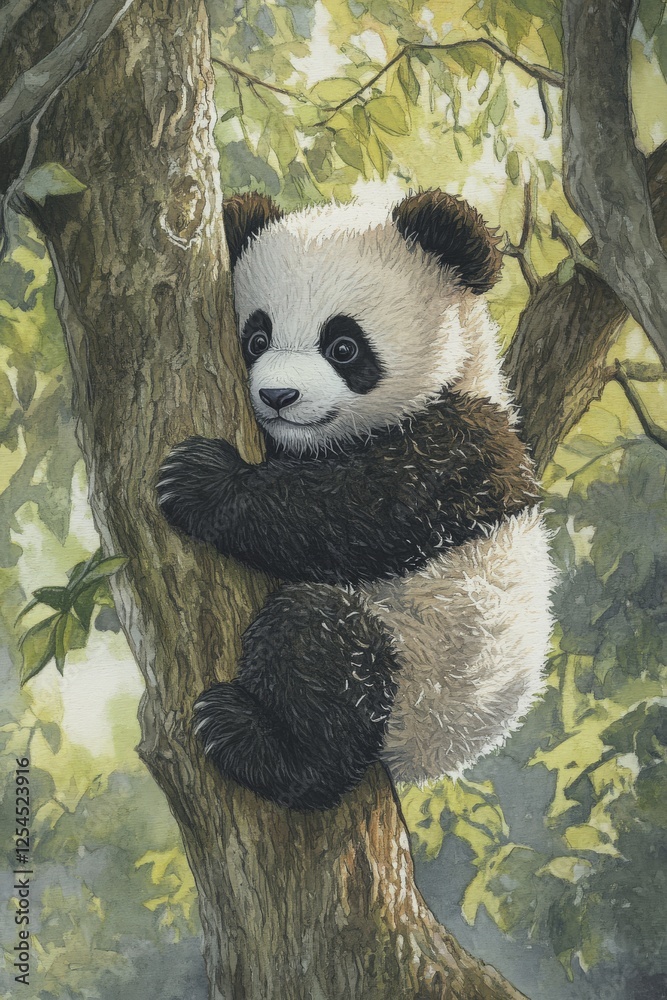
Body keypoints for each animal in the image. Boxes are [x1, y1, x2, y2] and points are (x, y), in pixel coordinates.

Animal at [156, 190, 555, 811]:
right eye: (256, 339)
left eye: (343, 346)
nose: (278, 396)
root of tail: (422, 760)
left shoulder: (464, 448)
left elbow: (355, 512)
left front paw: (201, 481)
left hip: (424, 671)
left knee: (321, 644)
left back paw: (254, 740)